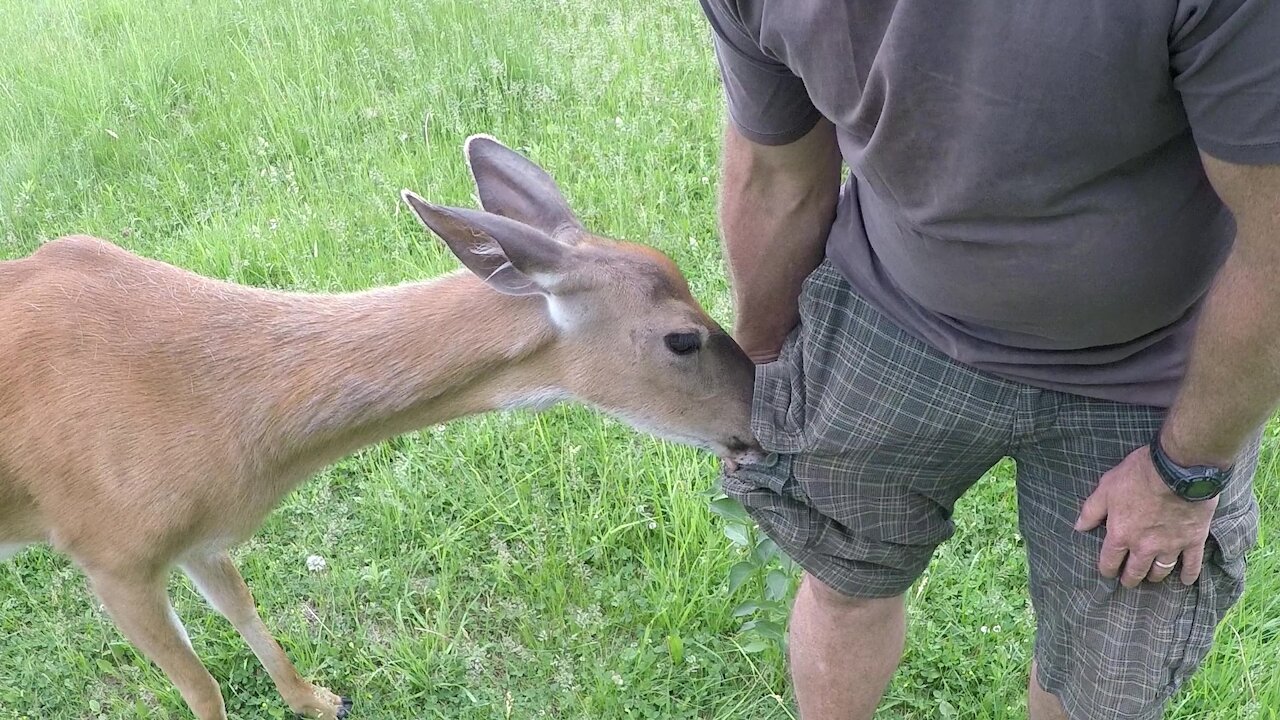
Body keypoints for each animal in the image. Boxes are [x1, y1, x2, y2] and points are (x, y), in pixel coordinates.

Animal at [0, 133, 757, 712]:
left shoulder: (200, 537)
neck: (218, 412)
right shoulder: (108, 551)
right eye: (682, 339)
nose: (757, 418)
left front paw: (317, 699)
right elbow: (202, 690)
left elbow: (244, 610)